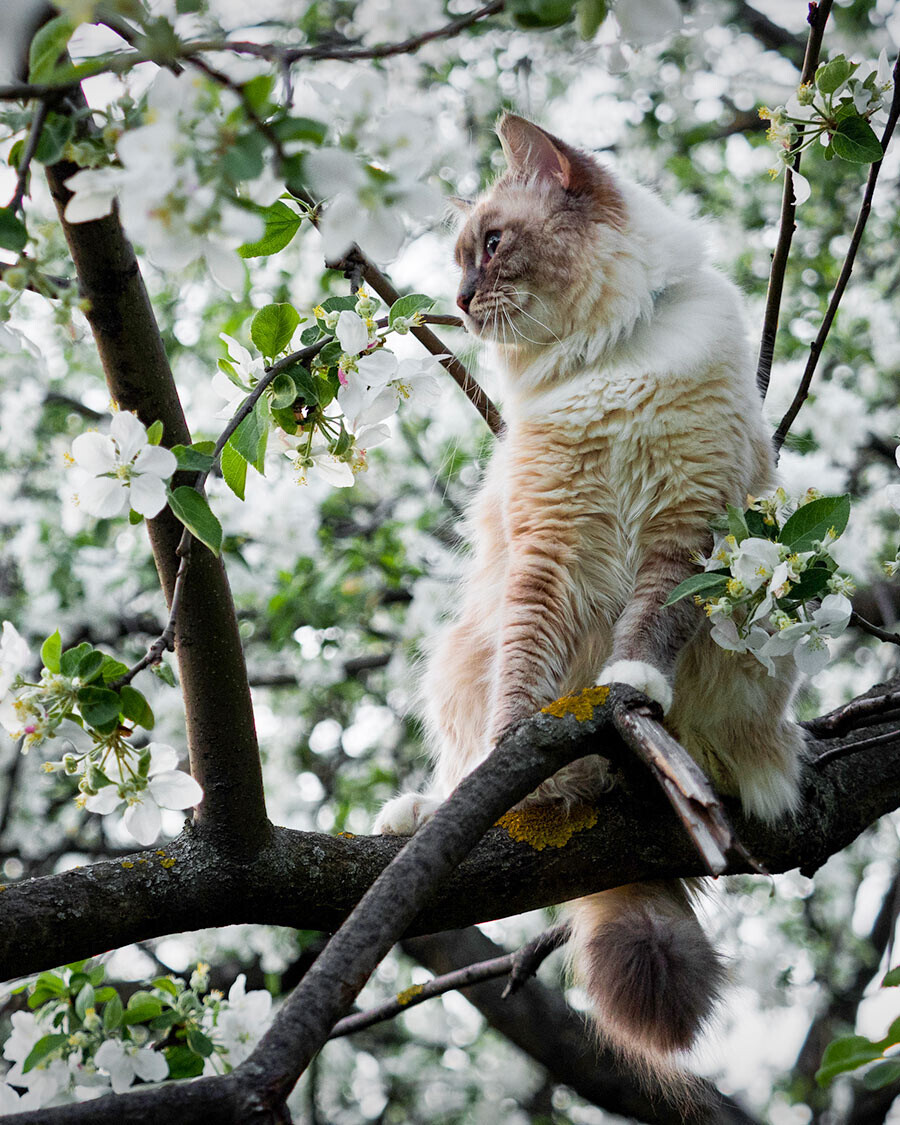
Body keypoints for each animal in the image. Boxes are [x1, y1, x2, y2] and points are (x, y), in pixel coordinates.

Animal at [373, 111, 801, 1089]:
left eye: (493, 246)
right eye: (462, 259)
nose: (461, 302)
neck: (611, 357)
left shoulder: (686, 531)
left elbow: (647, 635)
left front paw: (627, 693)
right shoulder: (551, 551)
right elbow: (520, 694)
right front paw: (519, 753)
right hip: (458, 655)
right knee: (463, 770)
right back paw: (454, 804)